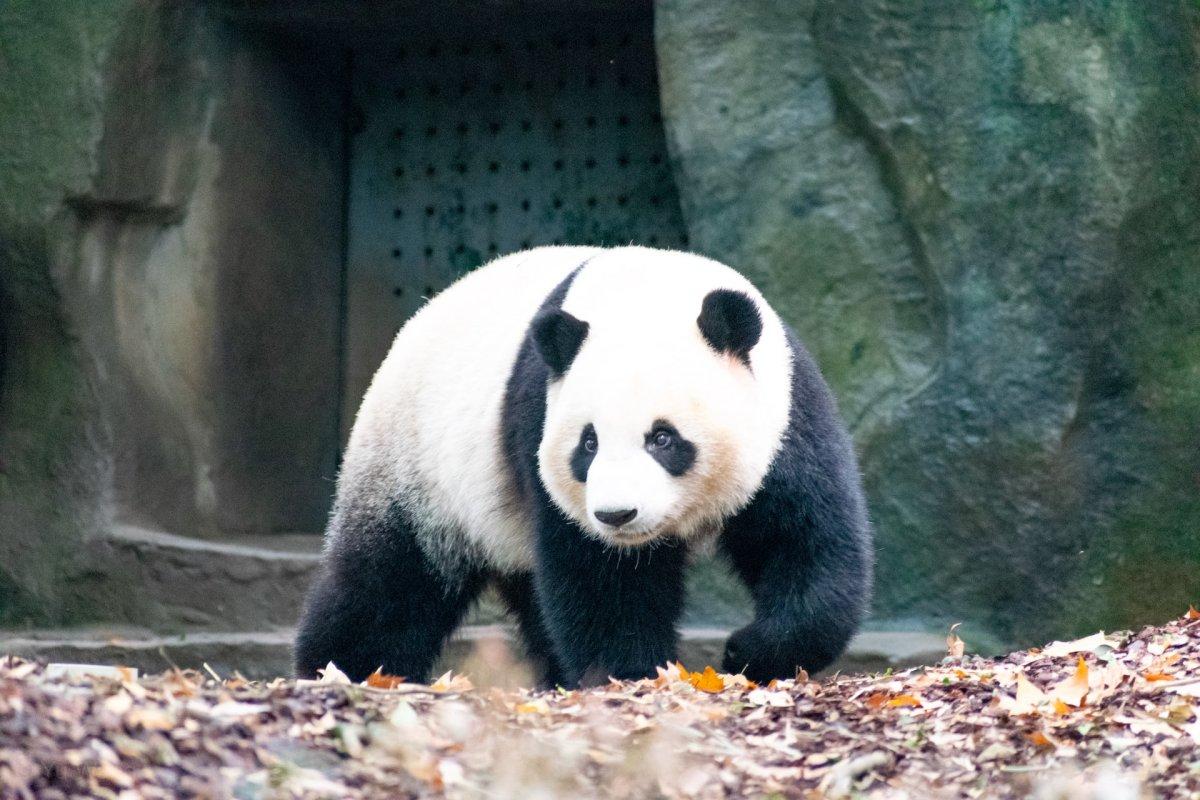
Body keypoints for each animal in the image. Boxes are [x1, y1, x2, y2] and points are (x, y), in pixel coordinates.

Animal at [290, 245, 873, 690]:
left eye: (663, 438)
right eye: (587, 444)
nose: (618, 515)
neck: (645, 293)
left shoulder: (787, 417)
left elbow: (807, 540)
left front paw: (748, 651)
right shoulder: (538, 421)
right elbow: (600, 578)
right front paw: (633, 674)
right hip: (417, 465)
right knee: (390, 580)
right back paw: (342, 668)